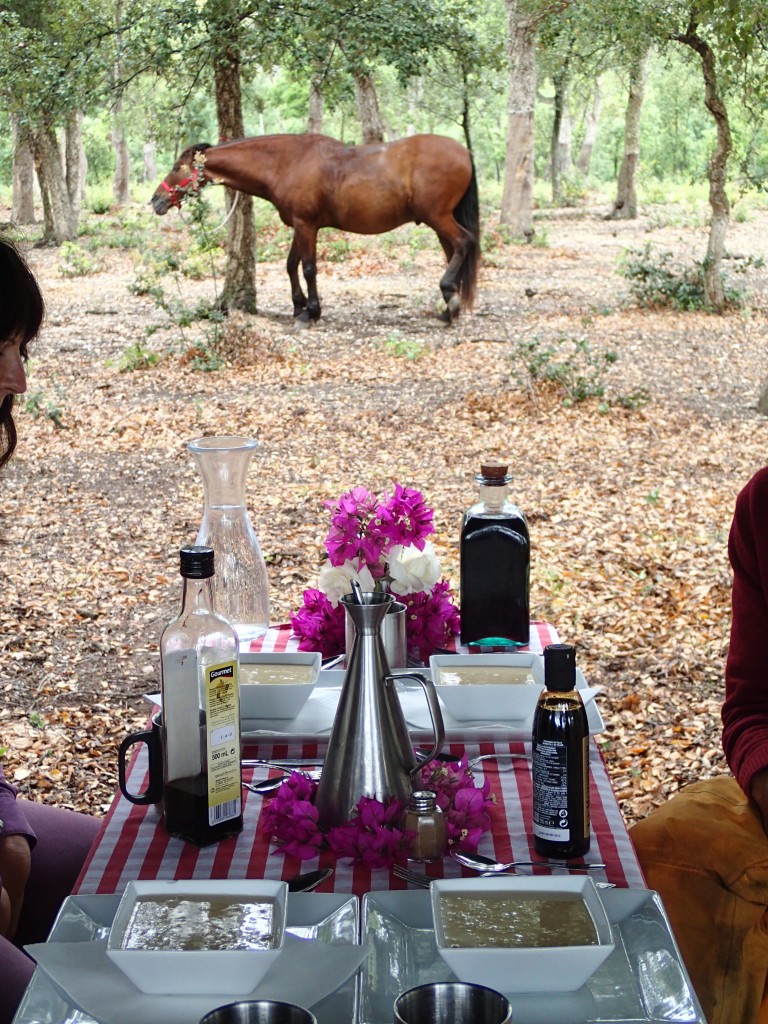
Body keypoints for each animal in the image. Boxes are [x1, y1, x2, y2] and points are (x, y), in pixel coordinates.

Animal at [151, 133, 481, 323]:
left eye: (178, 168)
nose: (156, 200)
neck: (287, 162)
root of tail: (464, 152)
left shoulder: (306, 225)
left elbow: (308, 268)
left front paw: (311, 312)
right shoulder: (299, 225)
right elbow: (290, 265)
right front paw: (298, 307)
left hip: (438, 217)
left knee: (464, 243)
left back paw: (449, 299)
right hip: (439, 221)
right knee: (453, 250)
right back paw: (448, 306)